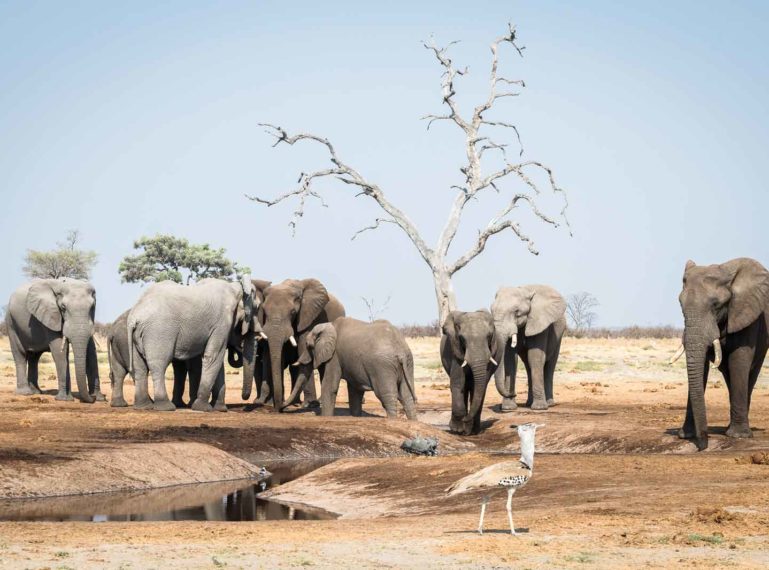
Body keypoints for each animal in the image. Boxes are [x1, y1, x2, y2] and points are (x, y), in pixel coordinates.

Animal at [105, 308, 248, 406]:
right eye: (238, 329)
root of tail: (111, 331)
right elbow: (195, 368)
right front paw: (191, 404)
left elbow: (181, 369)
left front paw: (182, 404)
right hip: (126, 343)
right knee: (134, 372)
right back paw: (150, 403)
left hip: (119, 345)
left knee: (119, 373)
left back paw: (120, 404)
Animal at [126, 274, 258, 408]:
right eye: (256, 308)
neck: (235, 287)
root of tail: (134, 316)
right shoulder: (221, 322)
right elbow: (214, 357)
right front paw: (203, 408)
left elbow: (217, 361)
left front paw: (220, 409)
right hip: (158, 331)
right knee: (158, 364)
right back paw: (166, 407)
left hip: (138, 335)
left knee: (140, 368)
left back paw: (143, 406)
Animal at [243, 278, 344, 410]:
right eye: (264, 311)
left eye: (293, 312)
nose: (280, 407)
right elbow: (277, 355)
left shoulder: (308, 315)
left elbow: (302, 349)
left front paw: (309, 405)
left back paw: (317, 402)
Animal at [672, 258, 768, 448]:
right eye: (680, 304)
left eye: (716, 304)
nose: (703, 444)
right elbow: (701, 367)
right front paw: (686, 435)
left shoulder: (745, 312)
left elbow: (739, 359)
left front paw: (739, 436)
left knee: (750, 372)